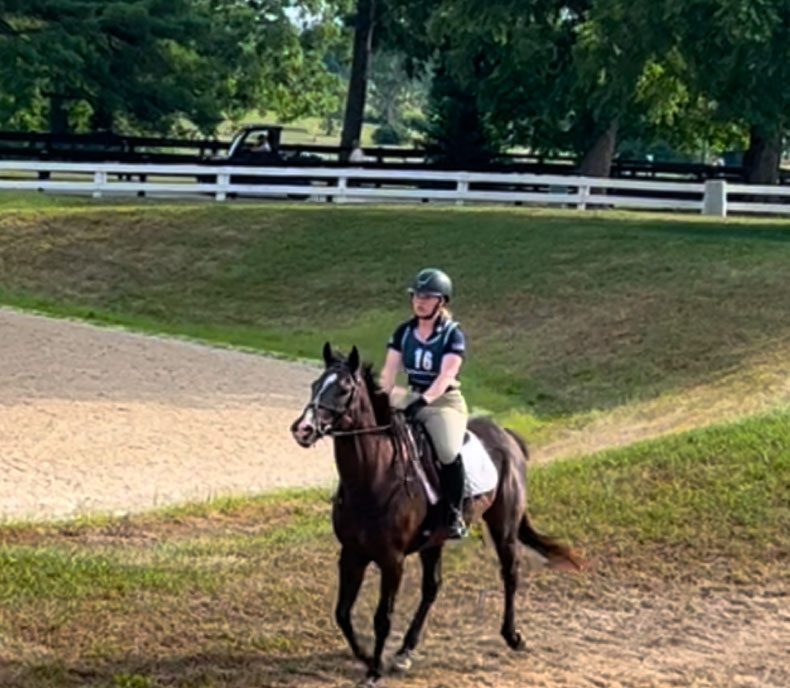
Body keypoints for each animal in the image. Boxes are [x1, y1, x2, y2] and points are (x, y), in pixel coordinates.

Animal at [292, 344, 580, 684]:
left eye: (344, 389)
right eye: (315, 384)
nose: (303, 429)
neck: (373, 476)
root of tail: (507, 436)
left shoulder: (392, 560)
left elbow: (382, 617)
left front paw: (374, 670)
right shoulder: (351, 553)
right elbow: (342, 613)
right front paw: (364, 656)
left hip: (504, 526)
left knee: (510, 573)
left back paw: (512, 637)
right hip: (434, 541)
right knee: (432, 588)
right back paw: (406, 650)